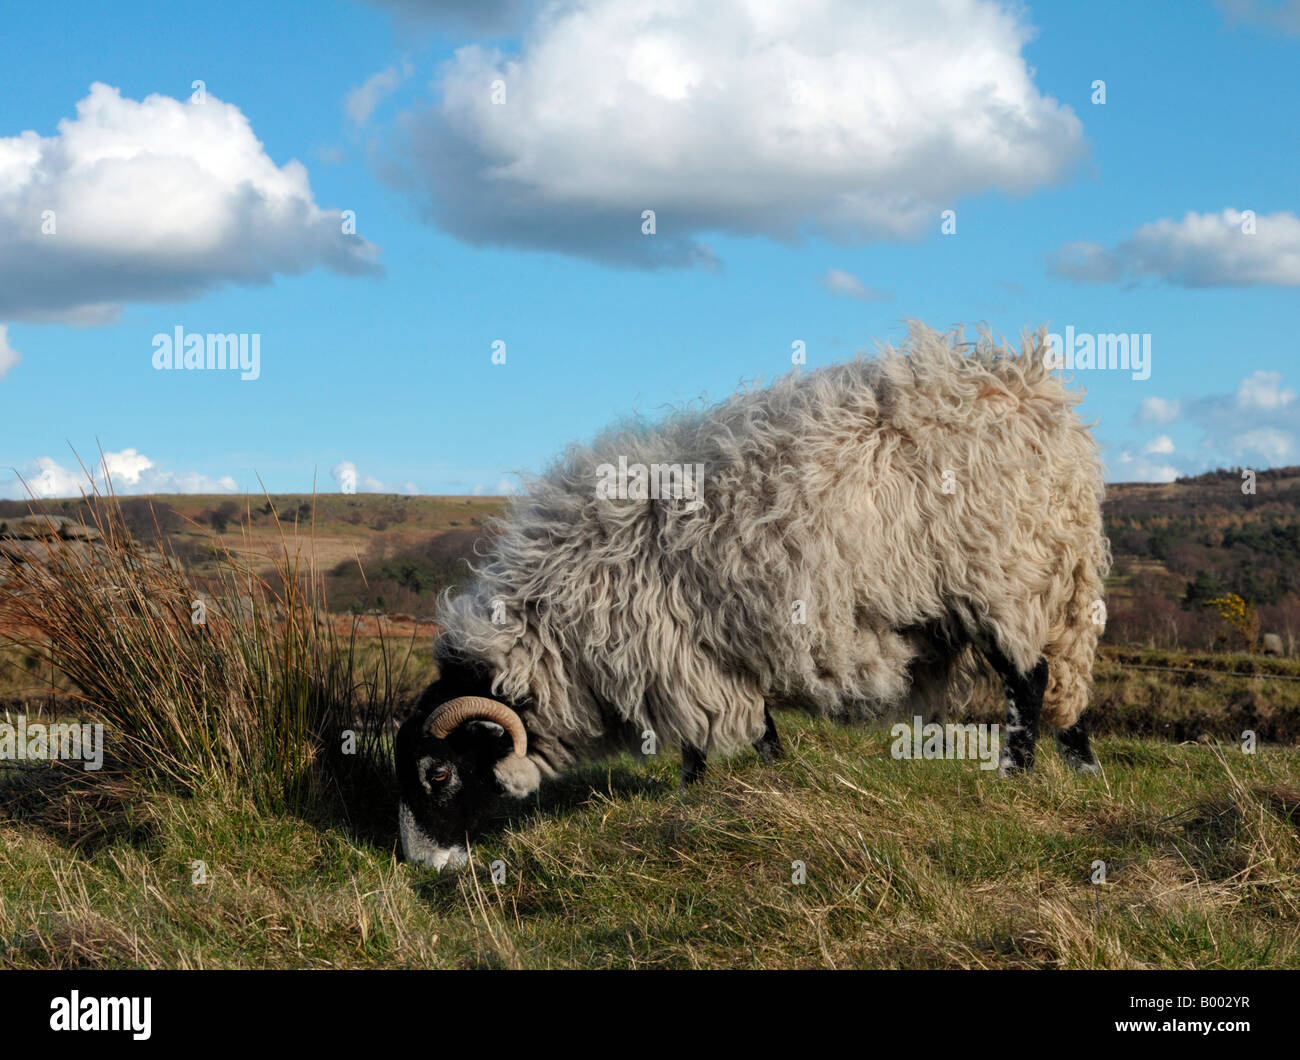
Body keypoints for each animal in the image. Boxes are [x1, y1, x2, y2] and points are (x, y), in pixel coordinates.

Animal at [396, 322, 1110, 869]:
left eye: (440, 773)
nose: (422, 866)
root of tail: (1039, 400)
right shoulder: (714, 657)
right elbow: (758, 728)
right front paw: (771, 783)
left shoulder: (679, 658)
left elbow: (701, 742)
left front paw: (697, 801)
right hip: (1054, 584)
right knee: (1063, 680)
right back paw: (1081, 768)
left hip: (1002, 579)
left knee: (1027, 679)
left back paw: (1015, 773)